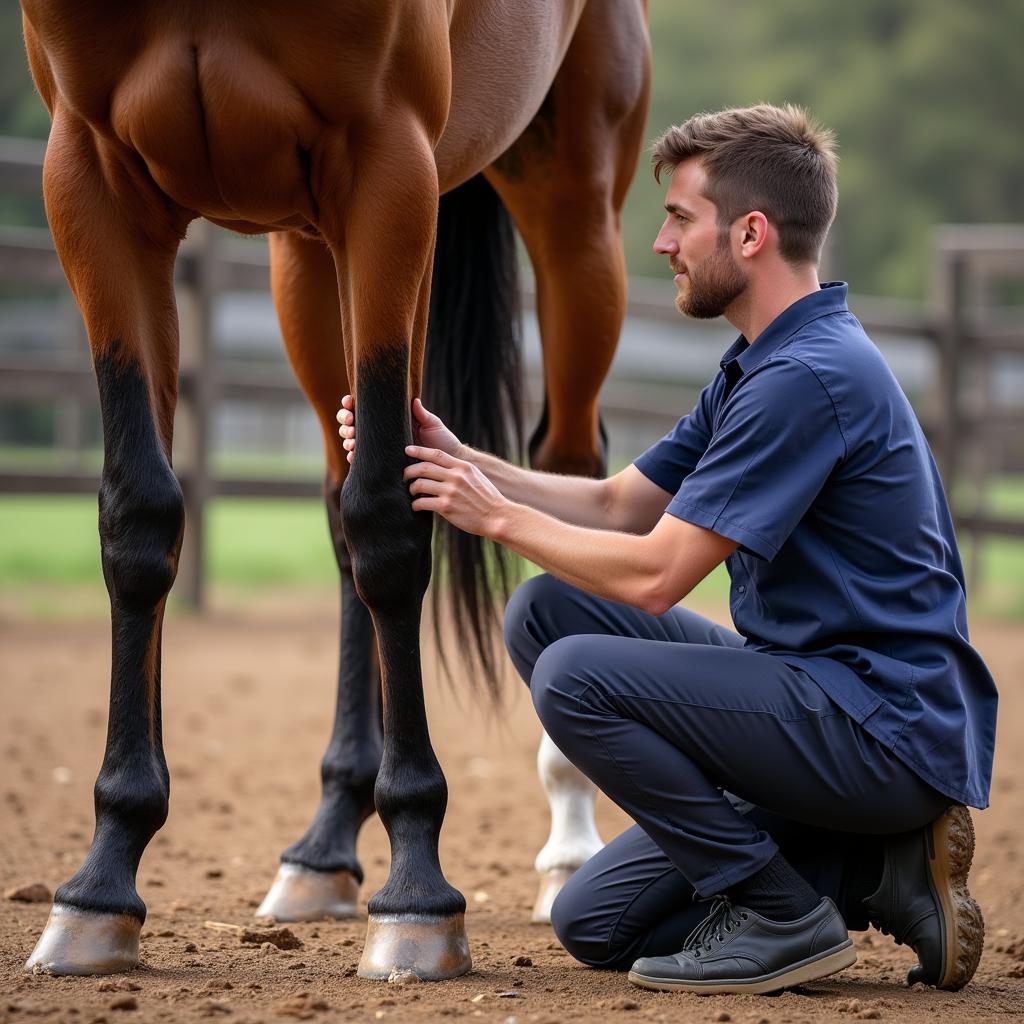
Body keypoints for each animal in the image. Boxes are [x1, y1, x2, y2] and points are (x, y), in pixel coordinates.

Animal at [19, 0, 647, 978]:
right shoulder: (89, 176)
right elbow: (140, 518)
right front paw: (99, 884)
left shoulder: (386, 166)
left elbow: (389, 524)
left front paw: (420, 895)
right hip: (310, 254)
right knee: (345, 499)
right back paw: (325, 848)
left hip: (571, 206)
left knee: (567, 464)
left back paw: (568, 838)